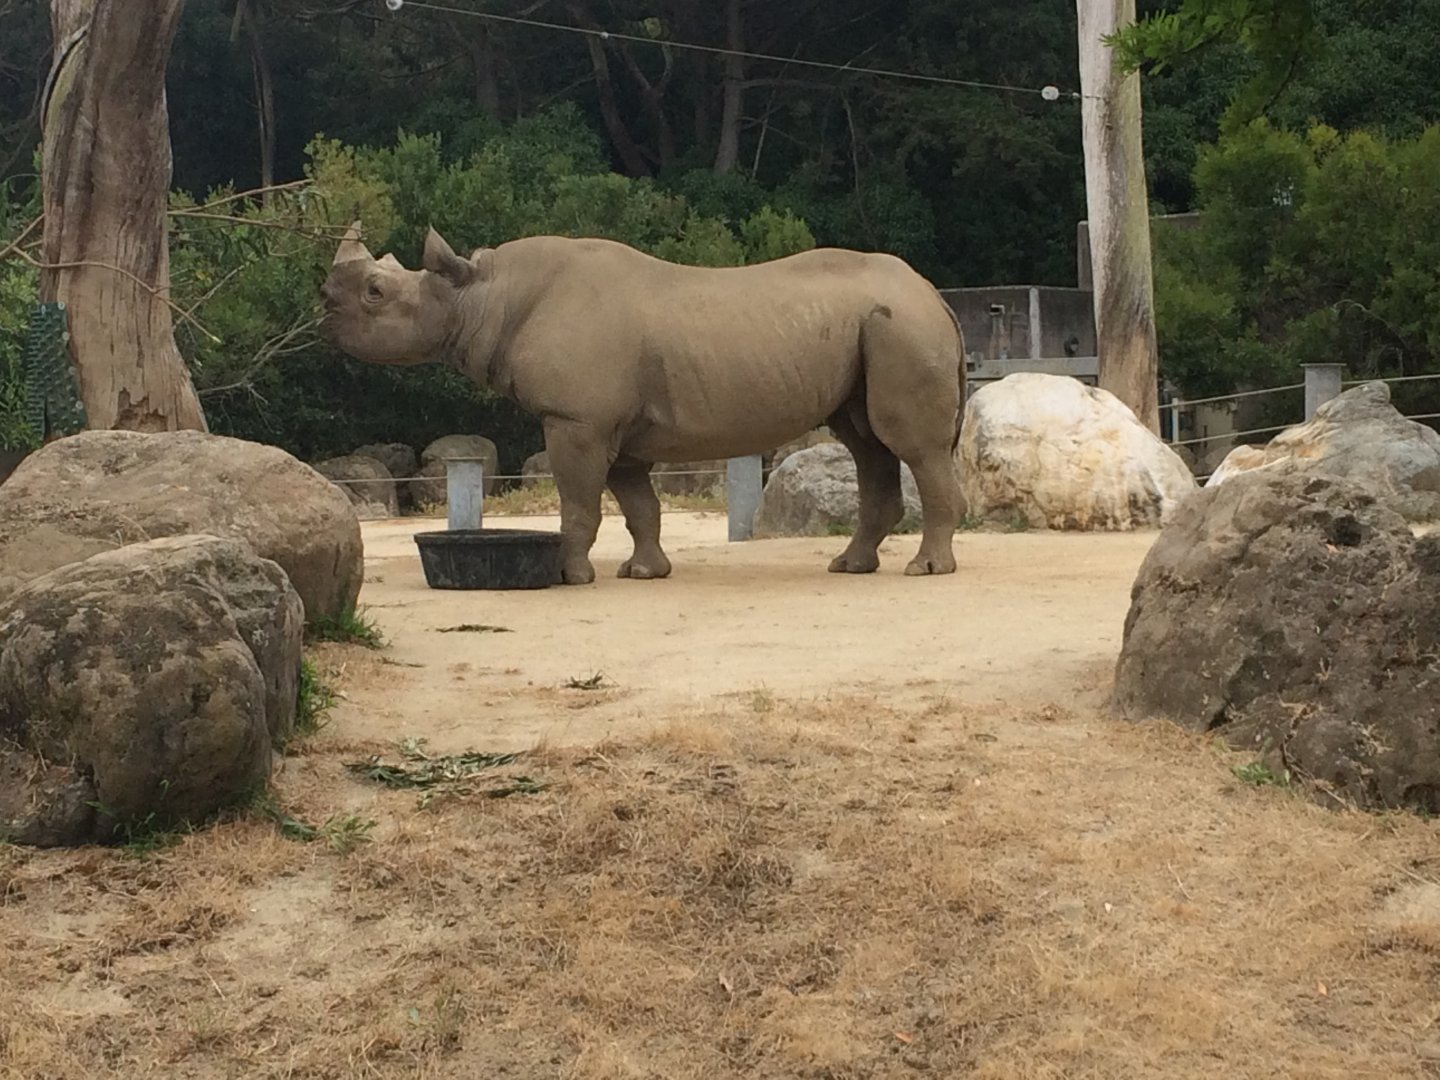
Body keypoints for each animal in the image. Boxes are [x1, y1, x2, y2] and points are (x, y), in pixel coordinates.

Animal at [319, 224, 967, 585]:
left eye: (376, 293)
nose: (324, 302)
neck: (482, 293)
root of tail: (934, 293)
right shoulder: (613, 428)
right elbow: (638, 505)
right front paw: (644, 573)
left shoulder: (576, 419)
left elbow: (580, 502)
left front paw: (567, 576)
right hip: (876, 329)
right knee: (866, 441)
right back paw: (850, 566)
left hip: (902, 326)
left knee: (909, 444)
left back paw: (926, 571)